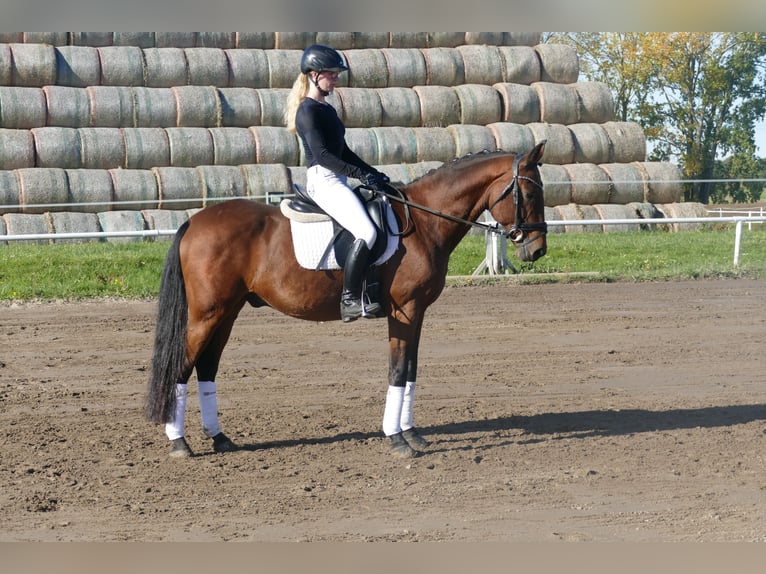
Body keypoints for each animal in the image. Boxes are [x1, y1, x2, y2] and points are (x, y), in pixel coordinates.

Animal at [145, 142, 548, 459]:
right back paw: (179, 443)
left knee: (207, 367)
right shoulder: (405, 310)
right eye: (529, 194)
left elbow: (411, 370)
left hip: (226, 313)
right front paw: (397, 439)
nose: (537, 250)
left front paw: (413, 433)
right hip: (207, 314)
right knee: (182, 366)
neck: (424, 221)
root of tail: (194, 222)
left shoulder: (417, 312)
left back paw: (219, 438)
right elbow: (397, 370)